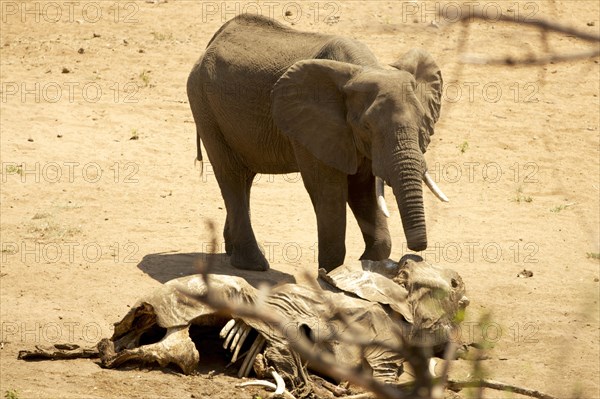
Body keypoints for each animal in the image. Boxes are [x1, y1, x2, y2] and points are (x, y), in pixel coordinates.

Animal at [186, 14, 446, 272]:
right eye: (367, 127)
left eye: (422, 122)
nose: (416, 252)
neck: (364, 68)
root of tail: (212, 42)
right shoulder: (314, 126)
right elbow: (329, 189)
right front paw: (329, 272)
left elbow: (362, 188)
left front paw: (366, 262)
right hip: (204, 107)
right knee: (232, 176)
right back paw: (253, 264)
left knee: (244, 178)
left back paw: (233, 251)